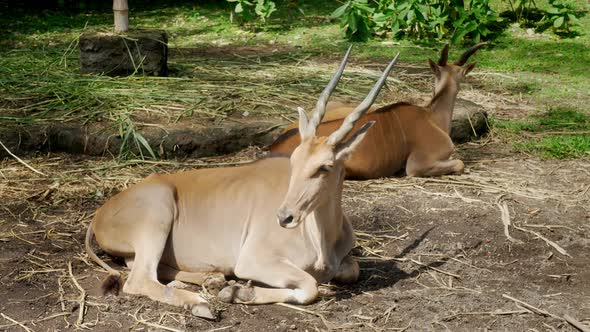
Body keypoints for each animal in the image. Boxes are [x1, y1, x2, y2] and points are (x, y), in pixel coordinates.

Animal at [84, 47, 402, 320]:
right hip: (157, 216)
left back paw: (212, 279)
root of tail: (101, 213)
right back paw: (200, 302)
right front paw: (239, 293)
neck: (320, 236)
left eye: (325, 166)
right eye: (295, 159)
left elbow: (351, 270)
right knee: (139, 279)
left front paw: (232, 288)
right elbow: (310, 287)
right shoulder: (253, 260)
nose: (284, 217)